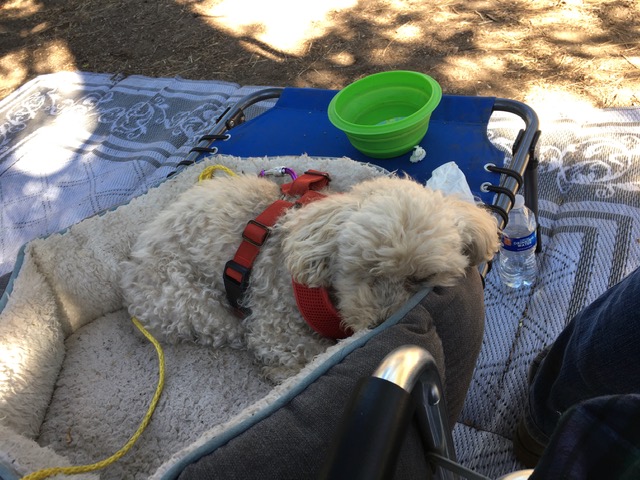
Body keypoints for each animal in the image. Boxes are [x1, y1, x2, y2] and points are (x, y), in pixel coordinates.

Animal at [120, 172, 499, 383]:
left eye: (420, 278)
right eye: (365, 270)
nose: (380, 324)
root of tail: (131, 266)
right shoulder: (274, 325)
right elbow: (307, 354)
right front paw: (284, 373)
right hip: (192, 304)